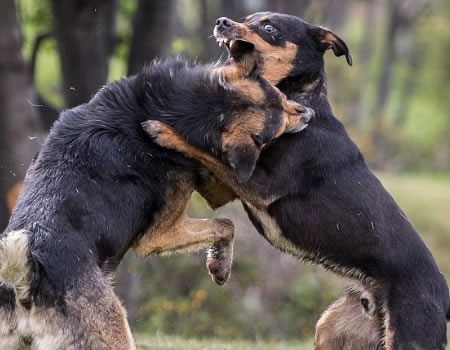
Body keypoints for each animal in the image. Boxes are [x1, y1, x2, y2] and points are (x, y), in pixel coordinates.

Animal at [0, 48, 312, 348]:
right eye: (279, 123)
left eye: (281, 98)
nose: (308, 113)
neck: (191, 106)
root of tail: (25, 279)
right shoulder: (158, 235)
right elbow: (225, 224)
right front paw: (220, 266)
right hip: (114, 335)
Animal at [145, 11, 450, 350]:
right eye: (247, 18)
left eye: (269, 27)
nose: (222, 22)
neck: (298, 102)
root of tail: (445, 299)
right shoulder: (227, 187)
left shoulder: (259, 185)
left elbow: (202, 150)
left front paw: (164, 130)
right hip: (331, 328)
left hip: (409, 335)